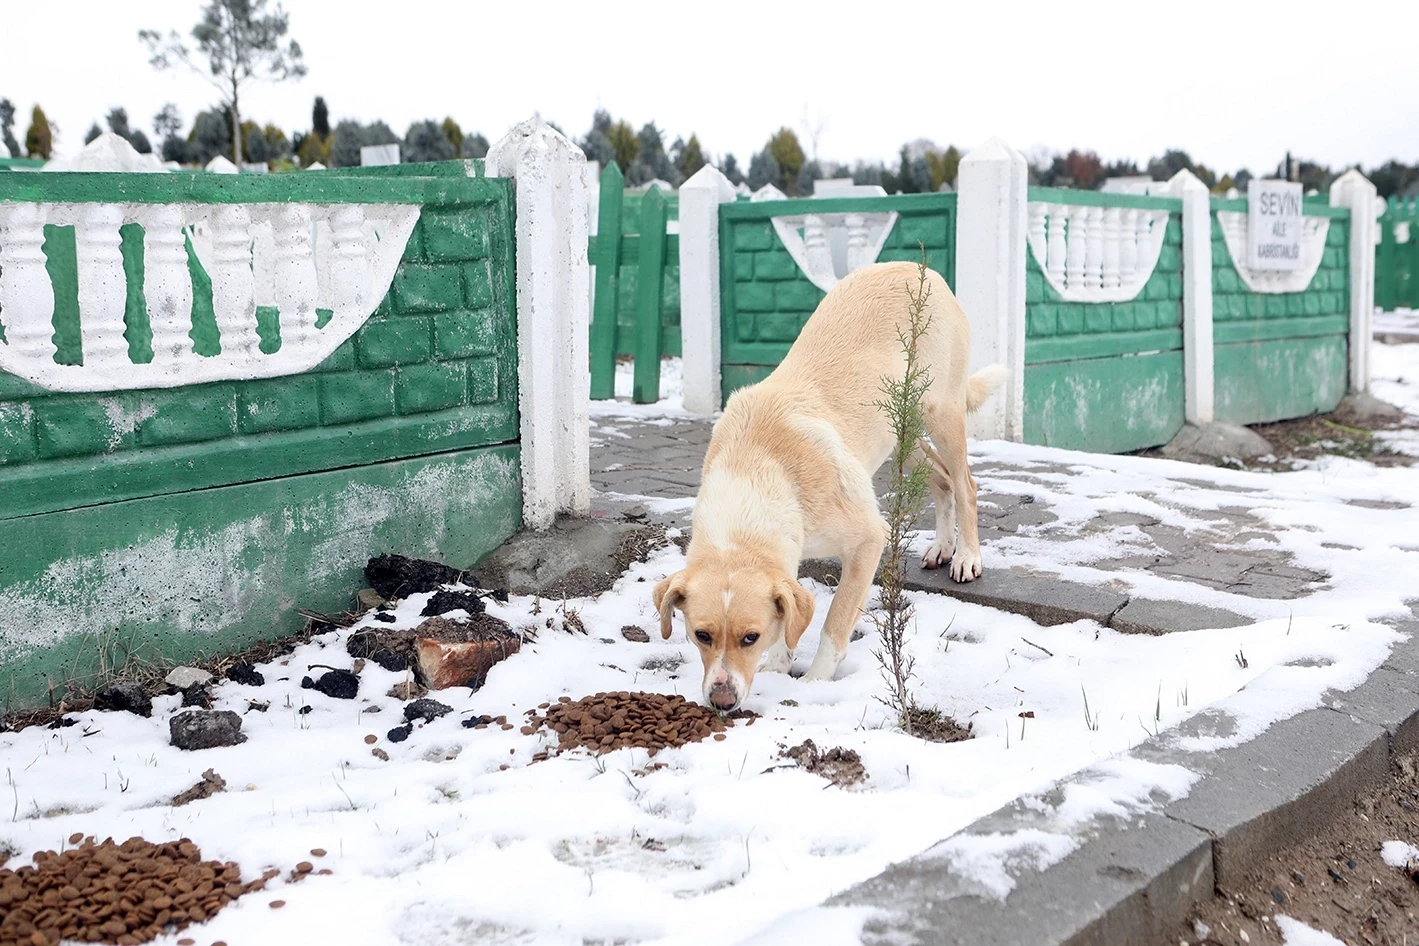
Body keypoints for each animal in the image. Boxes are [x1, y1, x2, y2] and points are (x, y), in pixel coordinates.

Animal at [652, 259, 1010, 709]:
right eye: (702, 635)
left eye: (750, 637)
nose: (722, 702)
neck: (755, 469)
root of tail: (917, 266)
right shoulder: (788, 556)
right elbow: (789, 612)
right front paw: (778, 664)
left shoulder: (868, 540)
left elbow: (834, 624)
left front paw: (814, 681)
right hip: (899, 432)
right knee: (942, 479)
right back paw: (943, 547)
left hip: (939, 413)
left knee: (965, 484)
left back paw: (965, 556)